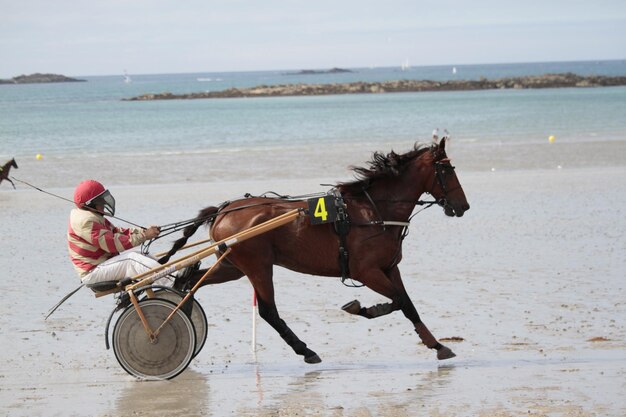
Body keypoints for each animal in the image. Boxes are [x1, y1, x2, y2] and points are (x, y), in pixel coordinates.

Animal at [161, 138, 468, 362]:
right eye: (448, 170)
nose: (463, 205)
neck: (373, 211)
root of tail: (224, 210)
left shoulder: (389, 267)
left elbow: (407, 304)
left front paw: (436, 344)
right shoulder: (366, 271)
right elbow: (399, 301)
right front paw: (366, 308)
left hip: (232, 266)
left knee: (189, 282)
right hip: (258, 266)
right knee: (268, 312)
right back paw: (305, 350)